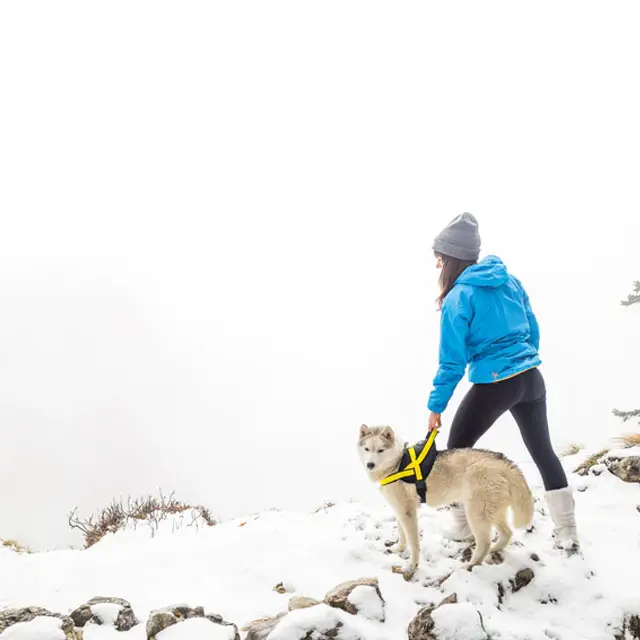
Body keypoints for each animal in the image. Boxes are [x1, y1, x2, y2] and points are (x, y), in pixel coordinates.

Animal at [358, 424, 532, 576]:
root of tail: (504, 463)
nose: (370, 464)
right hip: (493, 511)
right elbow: (402, 534)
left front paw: (412, 565)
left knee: (484, 542)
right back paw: (495, 549)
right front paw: (398, 549)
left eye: (380, 450)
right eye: (367, 449)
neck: (397, 464)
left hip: (476, 513)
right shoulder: (400, 509)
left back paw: (470, 564)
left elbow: (414, 542)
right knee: (507, 533)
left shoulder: (407, 511)